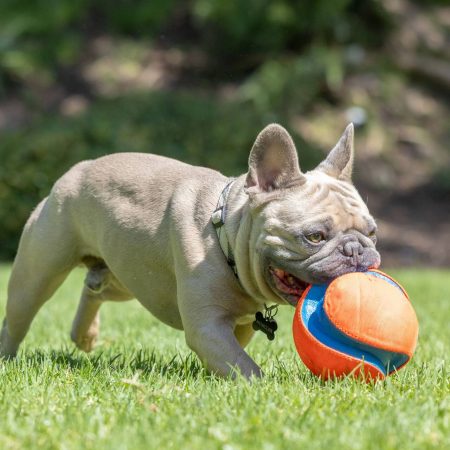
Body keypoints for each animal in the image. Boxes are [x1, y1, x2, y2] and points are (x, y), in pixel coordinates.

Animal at [0, 122, 380, 376]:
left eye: (372, 233)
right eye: (314, 236)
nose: (357, 251)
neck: (227, 236)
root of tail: (76, 170)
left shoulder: (236, 326)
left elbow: (233, 354)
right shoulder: (207, 327)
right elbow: (243, 365)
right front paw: (262, 388)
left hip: (129, 278)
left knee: (94, 287)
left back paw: (84, 335)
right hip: (39, 270)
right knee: (19, 315)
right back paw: (8, 357)